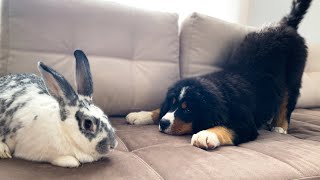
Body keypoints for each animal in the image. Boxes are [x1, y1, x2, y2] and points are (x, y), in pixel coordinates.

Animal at [126, 0, 312, 150]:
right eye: (172, 103)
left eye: (188, 109)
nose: (164, 123)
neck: (223, 92)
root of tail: (286, 24)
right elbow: (160, 109)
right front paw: (141, 115)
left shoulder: (246, 124)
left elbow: (227, 127)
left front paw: (206, 134)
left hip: (294, 76)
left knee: (287, 102)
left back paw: (280, 127)